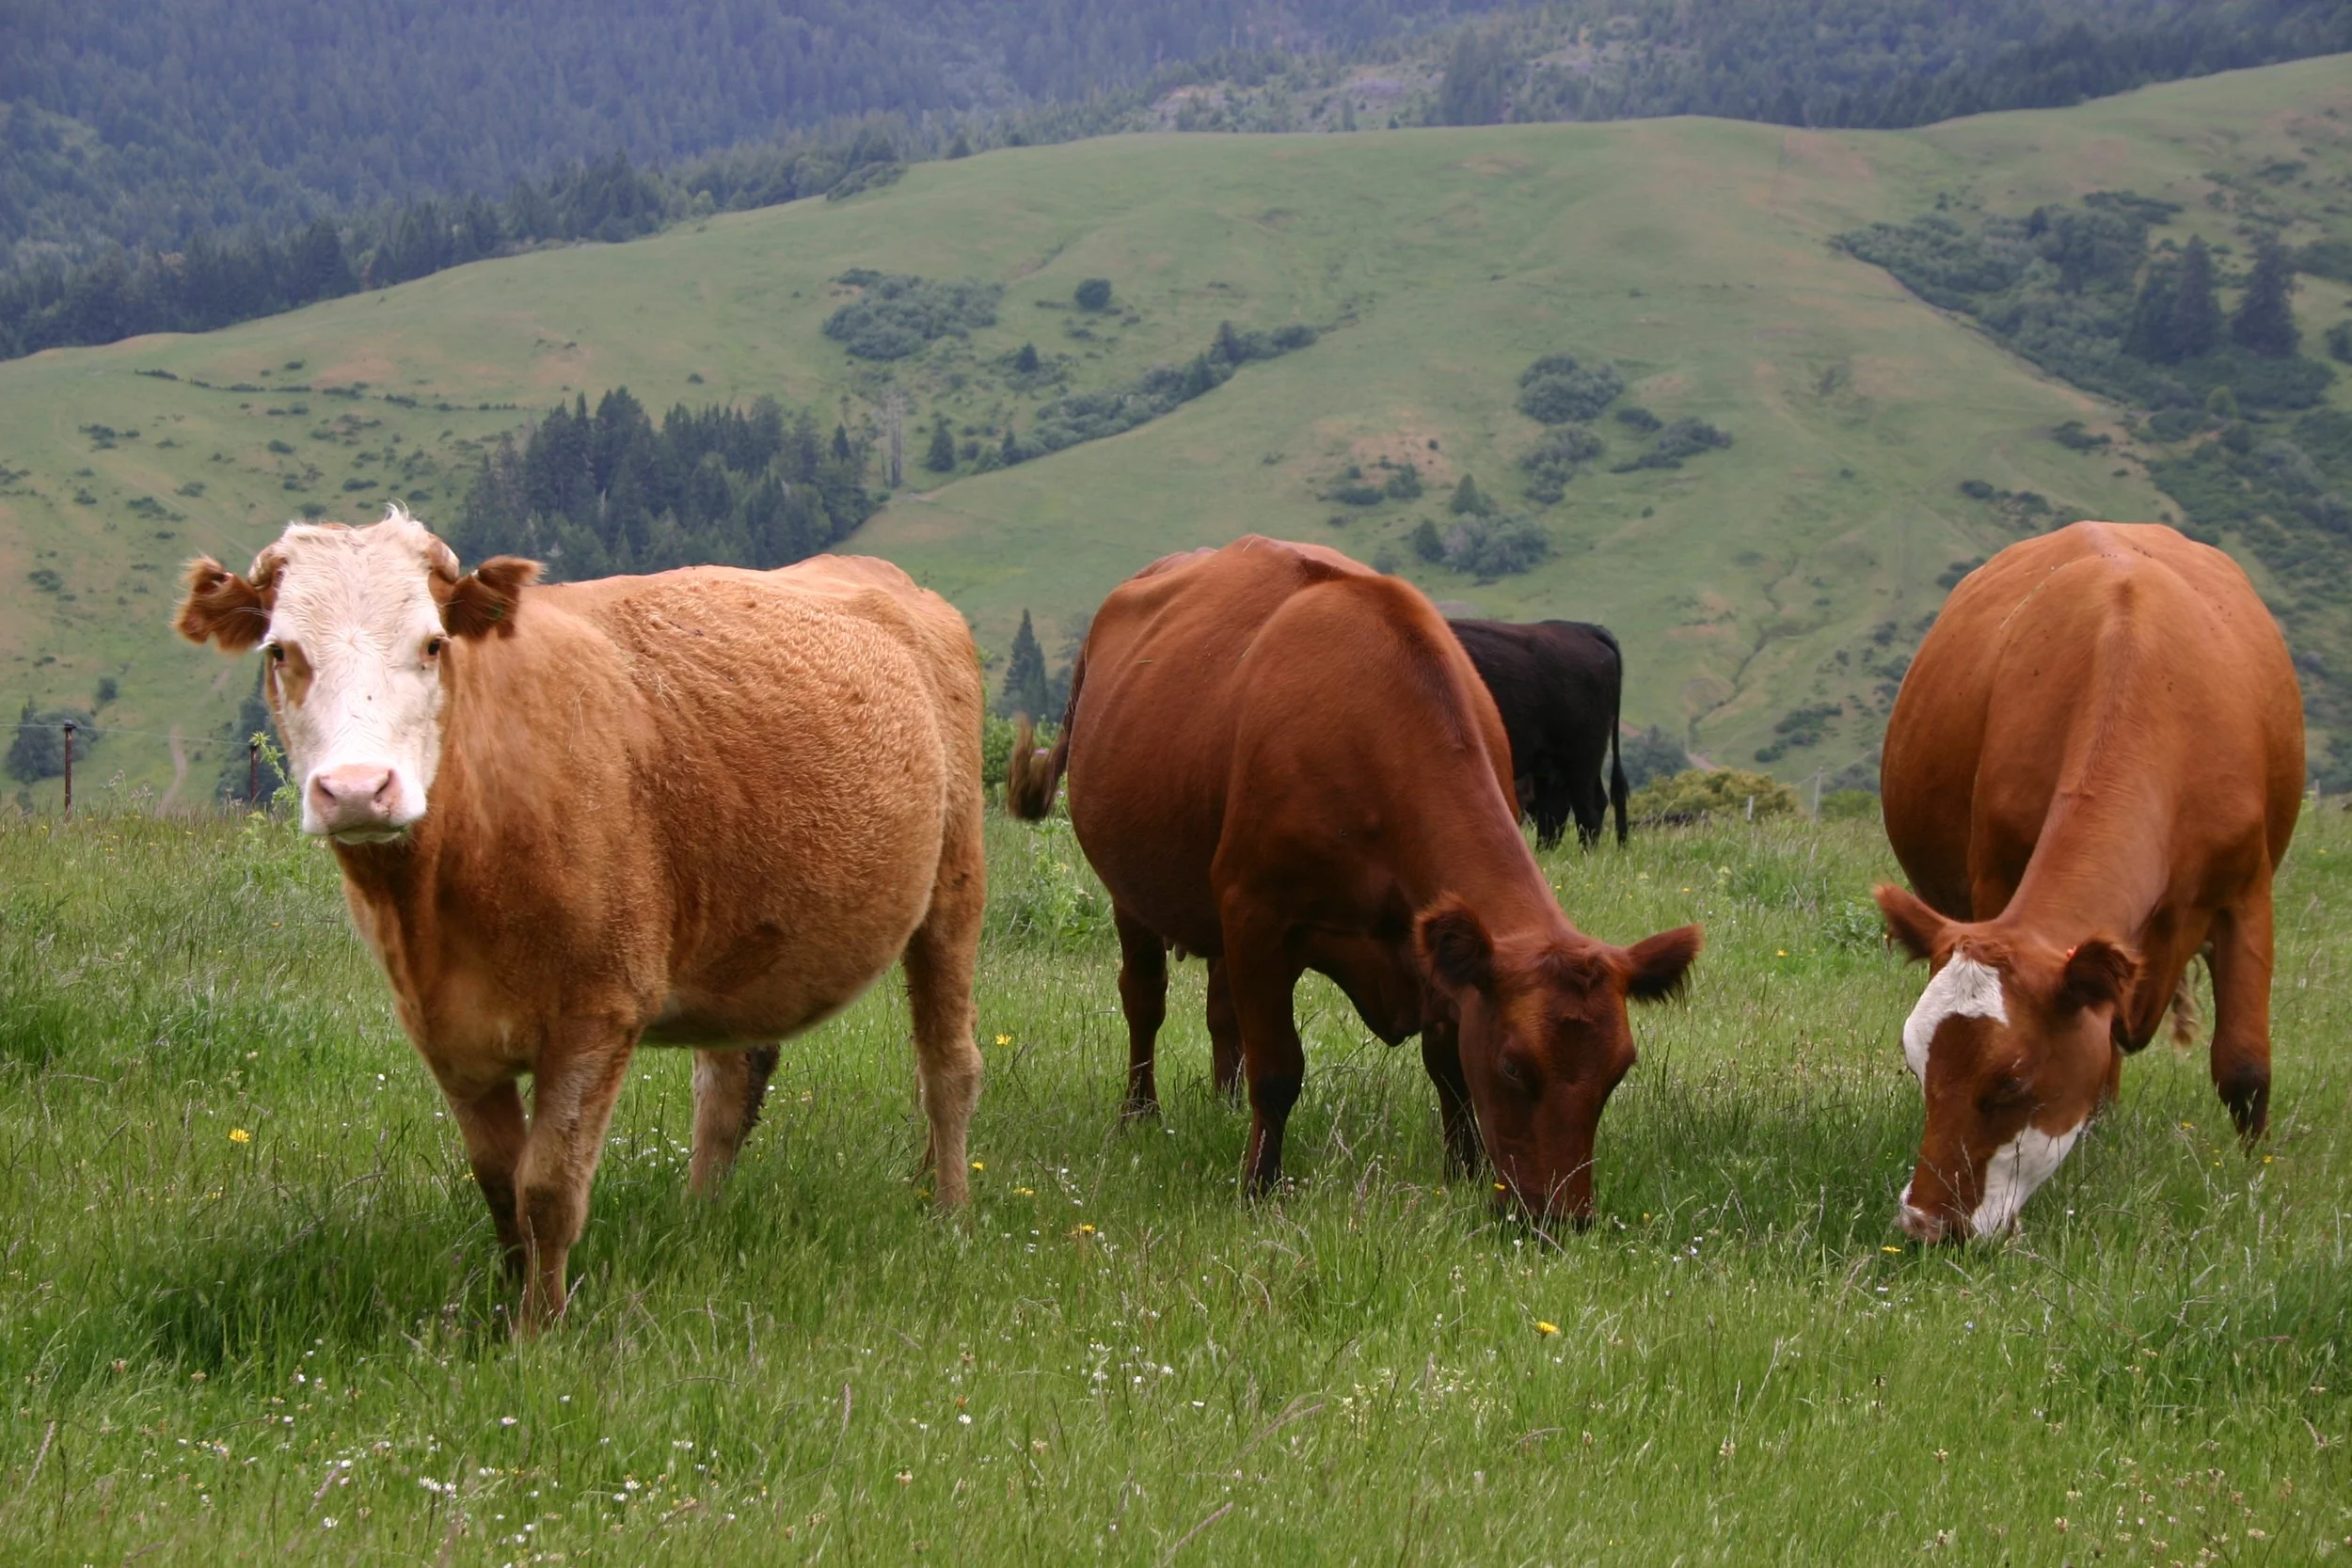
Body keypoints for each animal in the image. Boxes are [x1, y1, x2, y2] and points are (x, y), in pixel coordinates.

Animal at [175, 506, 985, 1328]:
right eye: (281, 651)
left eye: (432, 644)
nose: (357, 789)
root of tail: (893, 583)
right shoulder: (446, 1034)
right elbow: (500, 1186)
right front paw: (508, 1309)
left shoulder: (596, 1013)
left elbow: (548, 1190)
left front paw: (542, 1331)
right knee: (730, 1081)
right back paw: (701, 1217)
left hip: (955, 882)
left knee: (946, 1062)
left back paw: (948, 1210)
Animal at [1874, 521, 2302, 1243]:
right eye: (1917, 1068)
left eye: (2012, 1083)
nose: (1927, 1225)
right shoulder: (1997, 885)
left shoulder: (2247, 894)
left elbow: (2244, 1066)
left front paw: (2254, 1180)